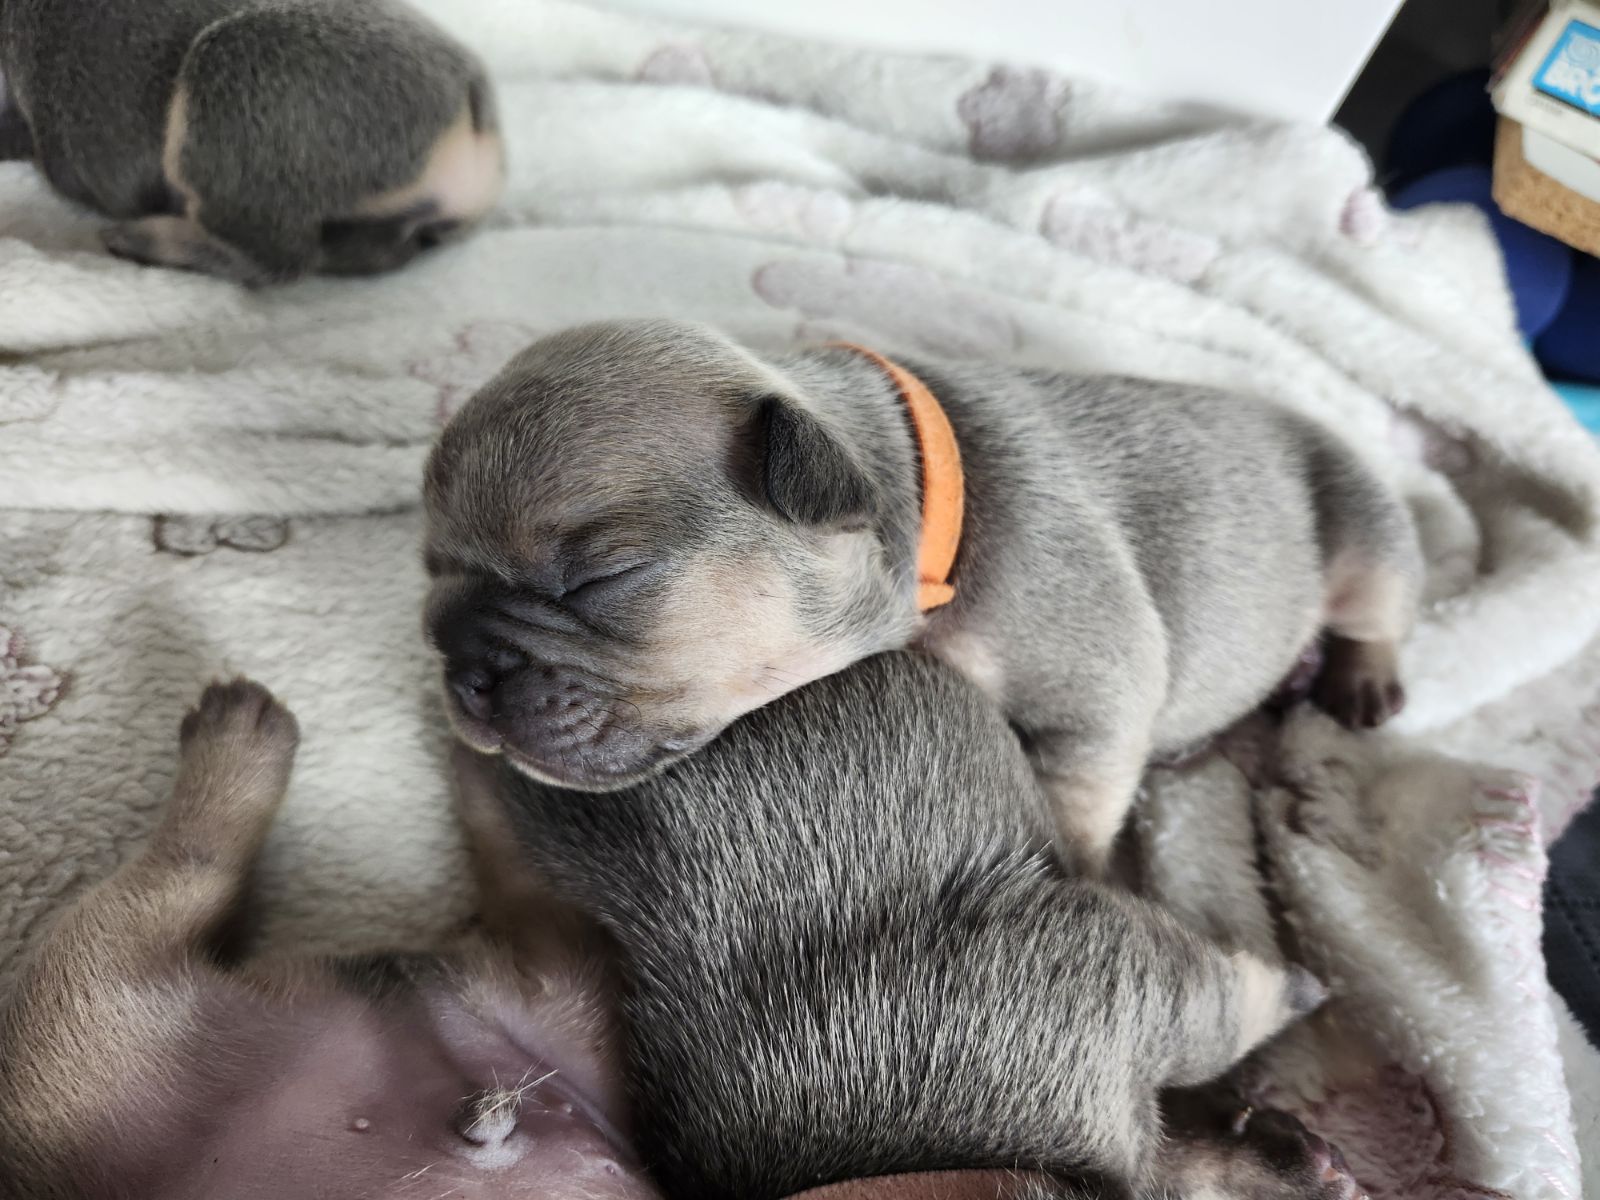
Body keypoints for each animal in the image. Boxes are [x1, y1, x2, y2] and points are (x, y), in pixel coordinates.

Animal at [425, 321, 1427, 876]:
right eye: (431, 584)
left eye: (601, 578)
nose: (462, 662)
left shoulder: (1092, 701)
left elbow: (1075, 805)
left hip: (1362, 531)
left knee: (1375, 608)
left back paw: (1361, 680)